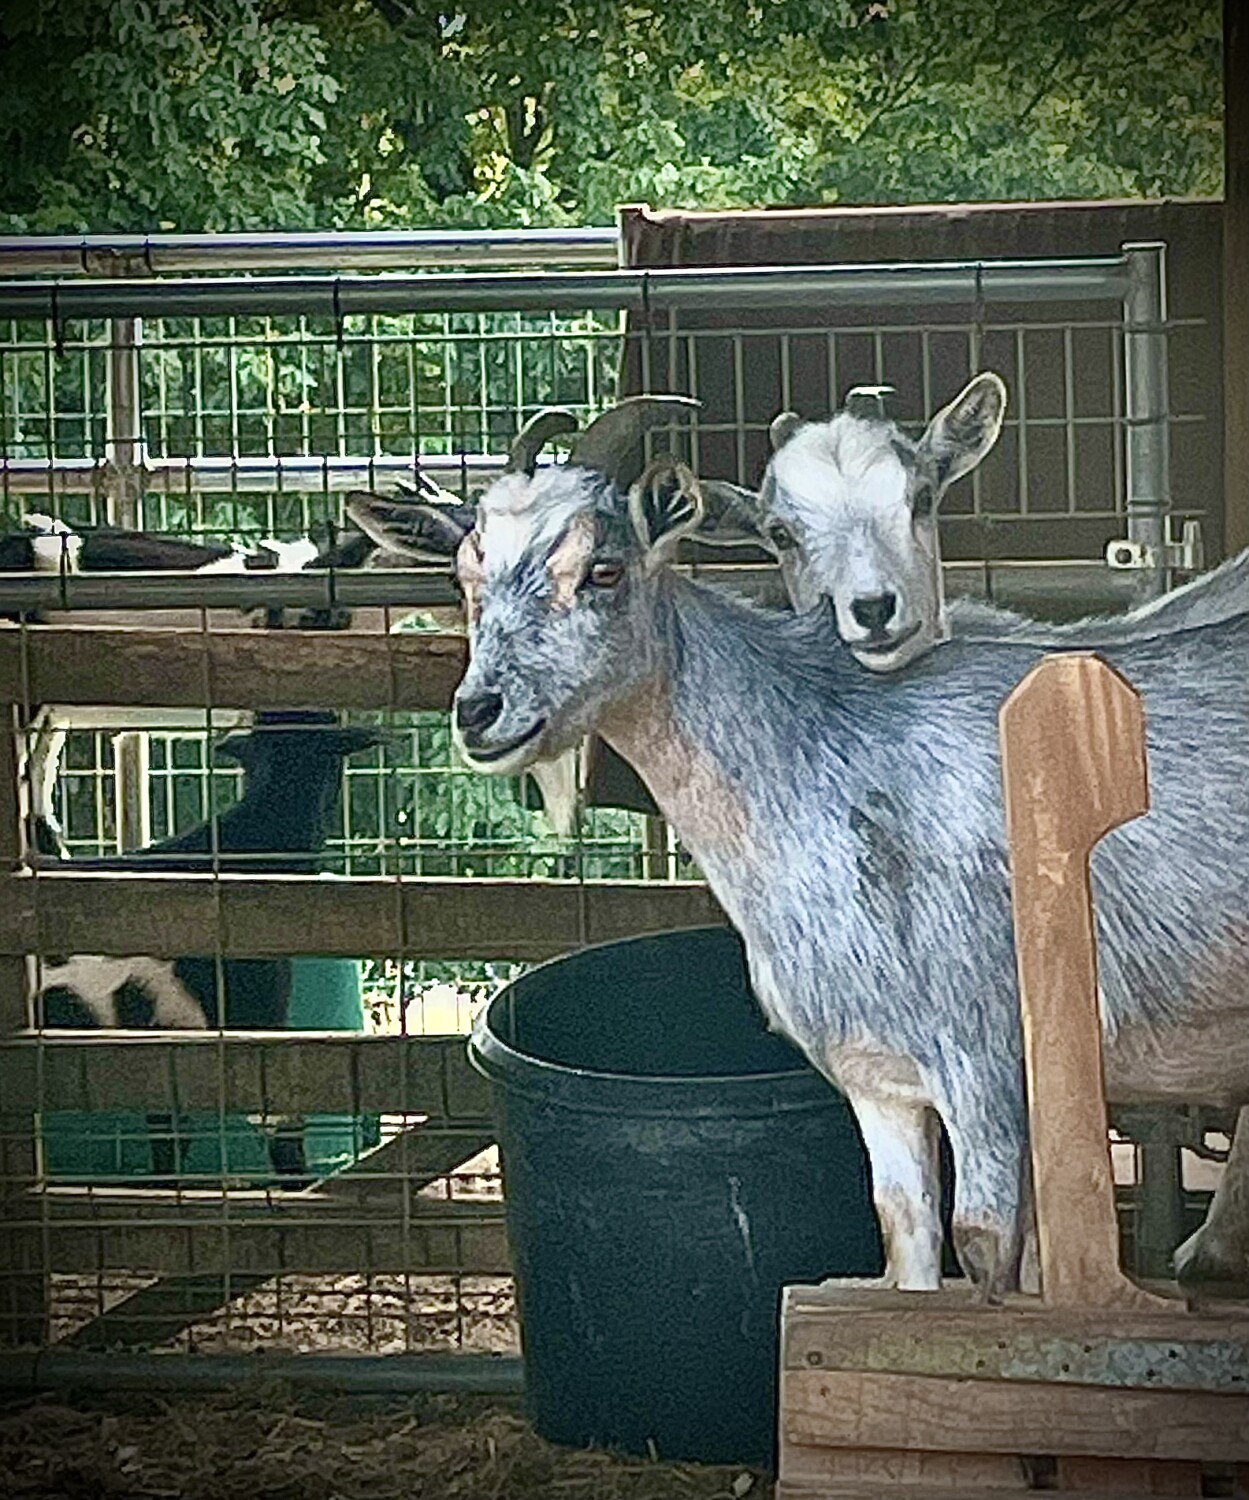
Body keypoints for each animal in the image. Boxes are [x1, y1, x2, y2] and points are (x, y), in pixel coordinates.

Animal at [363, 395, 1249, 1301]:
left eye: (603, 571)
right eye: (466, 580)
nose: (479, 711)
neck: (833, 761)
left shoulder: (990, 1061)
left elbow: (986, 1249)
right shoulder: (874, 1076)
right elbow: (904, 1243)